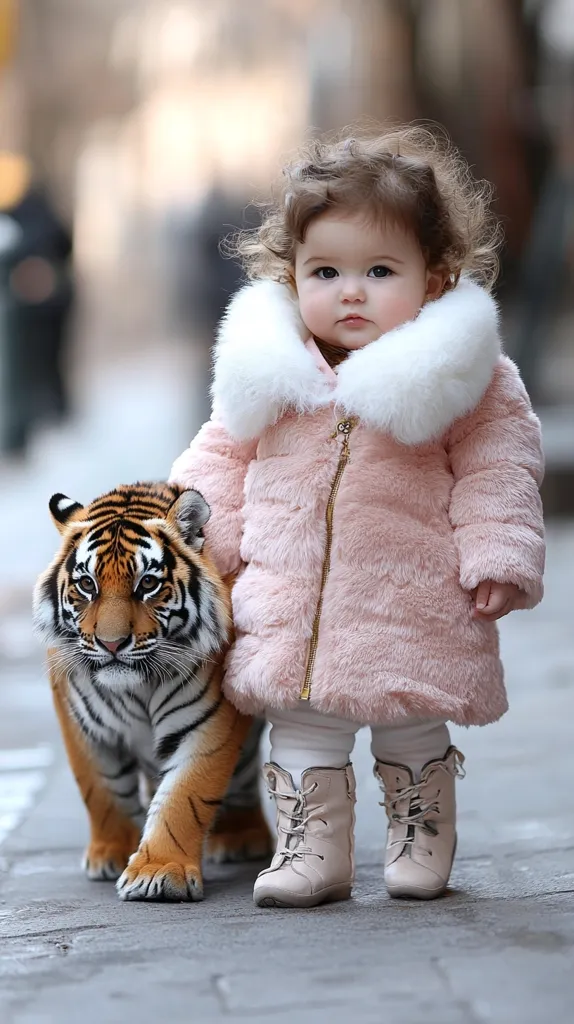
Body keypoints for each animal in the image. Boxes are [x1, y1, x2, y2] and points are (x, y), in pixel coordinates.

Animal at [33, 481, 271, 902]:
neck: (136, 685)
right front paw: (110, 853)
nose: (111, 644)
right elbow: (101, 790)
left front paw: (158, 872)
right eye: (87, 584)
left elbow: (183, 797)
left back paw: (242, 839)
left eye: (147, 583)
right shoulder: (79, 724)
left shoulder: (206, 723)